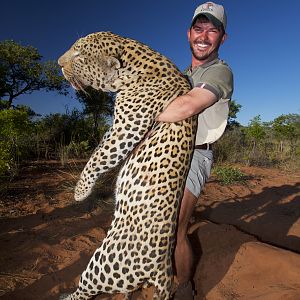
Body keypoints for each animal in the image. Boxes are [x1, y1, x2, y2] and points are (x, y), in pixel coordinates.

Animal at [58, 31, 197, 298]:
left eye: (78, 54)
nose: (58, 63)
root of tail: (163, 269)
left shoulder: (126, 128)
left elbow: (99, 156)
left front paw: (80, 192)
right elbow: (99, 148)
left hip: (103, 261)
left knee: (85, 290)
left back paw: (66, 295)